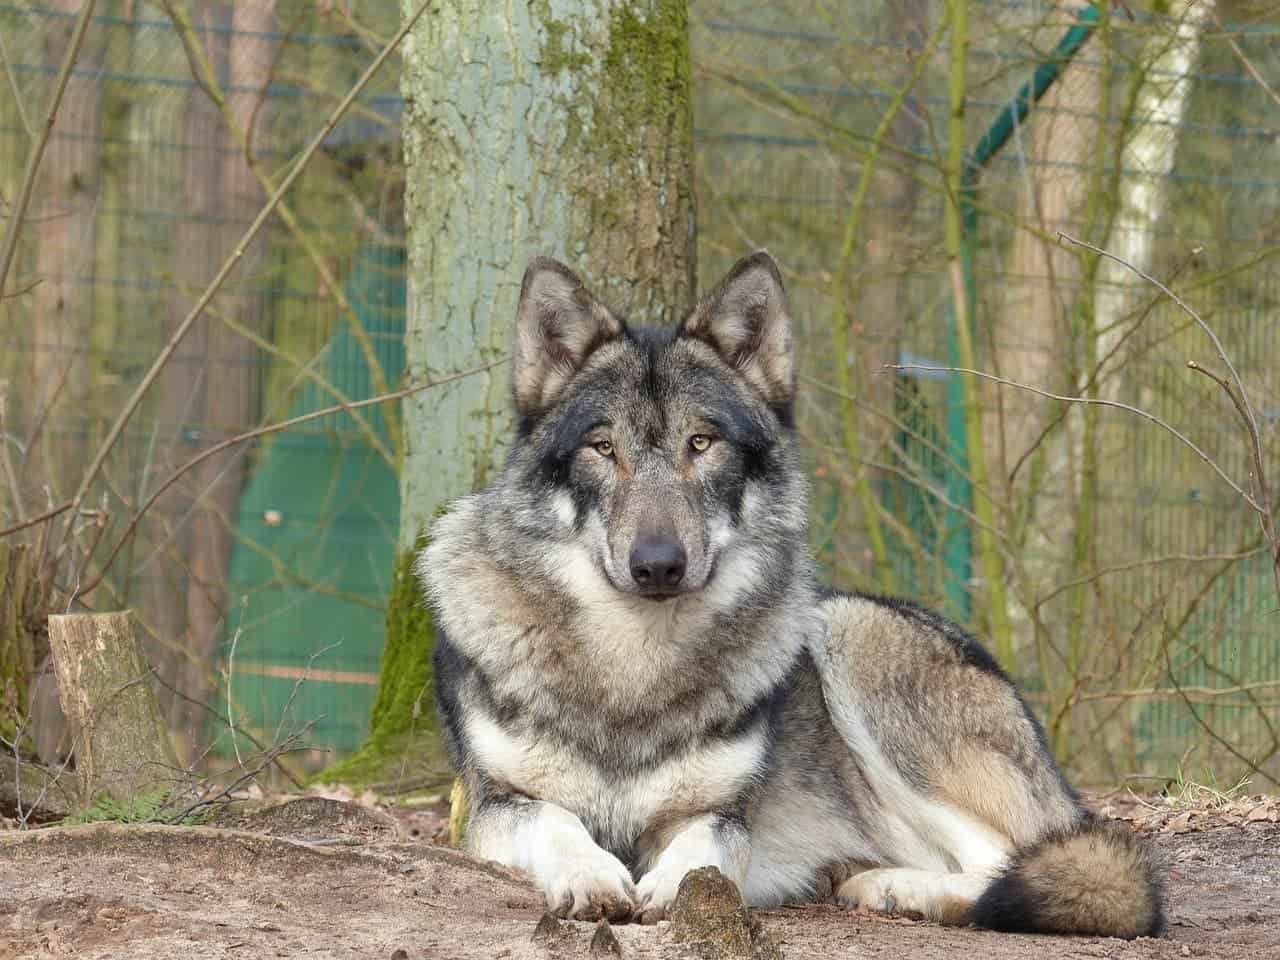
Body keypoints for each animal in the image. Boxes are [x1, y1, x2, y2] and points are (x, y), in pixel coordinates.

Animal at [419, 251, 1164, 938]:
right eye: (602, 448)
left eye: (702, 443)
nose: (658, 566)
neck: (634, 671)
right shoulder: (494, 804)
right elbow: (555, 821)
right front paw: (590, 875)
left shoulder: (723, 813)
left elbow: (706, 848)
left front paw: (670, 888)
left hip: (846, 628)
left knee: (1013, 867)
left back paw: (897, 889)